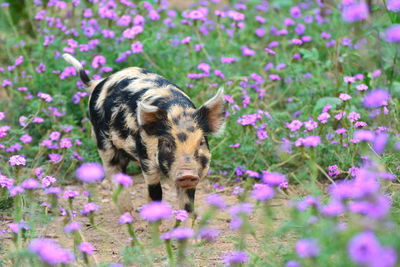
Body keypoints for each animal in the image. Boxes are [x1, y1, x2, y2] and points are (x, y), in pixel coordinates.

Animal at [62, 54, 225, 216]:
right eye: (167, 143)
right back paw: (127, 213)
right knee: (112, 172)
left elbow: (188, 204)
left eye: (201, 142)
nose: (187, 174)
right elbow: (155, 193)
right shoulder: (146, 158)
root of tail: (99, 82)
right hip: (102, 141)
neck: (177, 110)